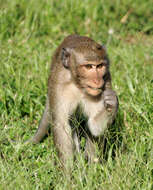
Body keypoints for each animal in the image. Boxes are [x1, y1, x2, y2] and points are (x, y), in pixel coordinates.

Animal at [29, 34, 118, 168]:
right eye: (88, 66)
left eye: (100, 66)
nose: (97, 81)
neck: (78, 84)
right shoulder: (60, 84)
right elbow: (62, 125)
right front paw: (68, 172)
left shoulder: (105, 82)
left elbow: (95, 126)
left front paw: (112, 103)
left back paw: (91, 165)